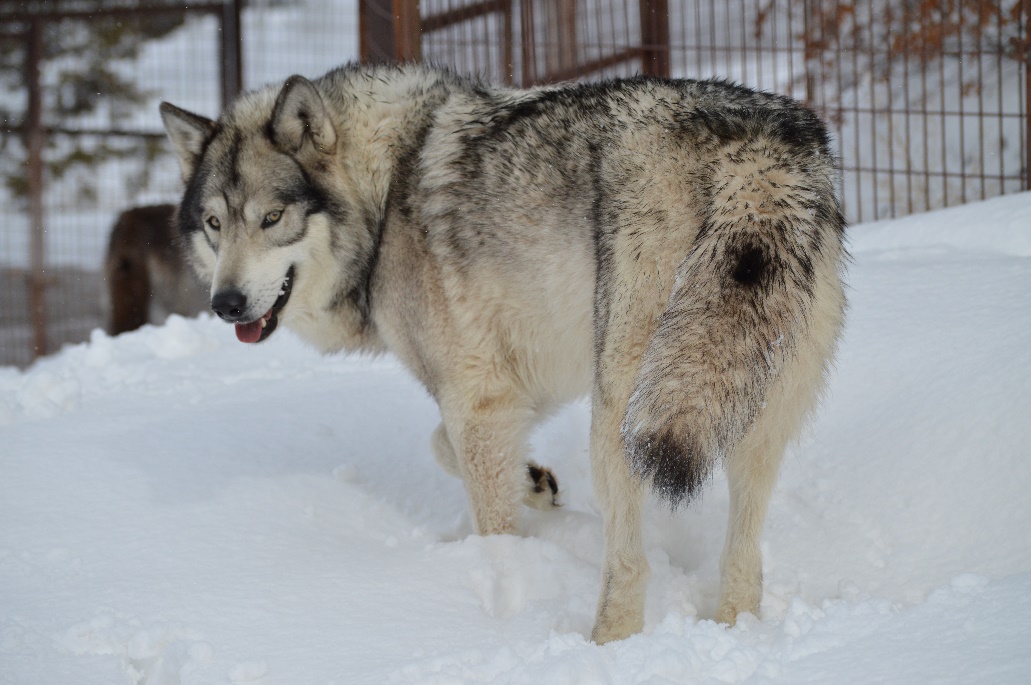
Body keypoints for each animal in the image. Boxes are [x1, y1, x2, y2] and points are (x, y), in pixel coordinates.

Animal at [160, 63, 846, 643]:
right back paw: (735, 631)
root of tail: (755, 145)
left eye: (272, 218)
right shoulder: (514, 385)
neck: (382, 198)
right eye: (215, 225)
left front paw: (502, 569)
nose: (225, 303)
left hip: (625, 417)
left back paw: (603, 646)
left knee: (630, 563)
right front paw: (534, 482)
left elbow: (482, 504)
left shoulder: (477, 397)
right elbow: (443, 445)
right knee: (743, 553)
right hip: (745, 409)